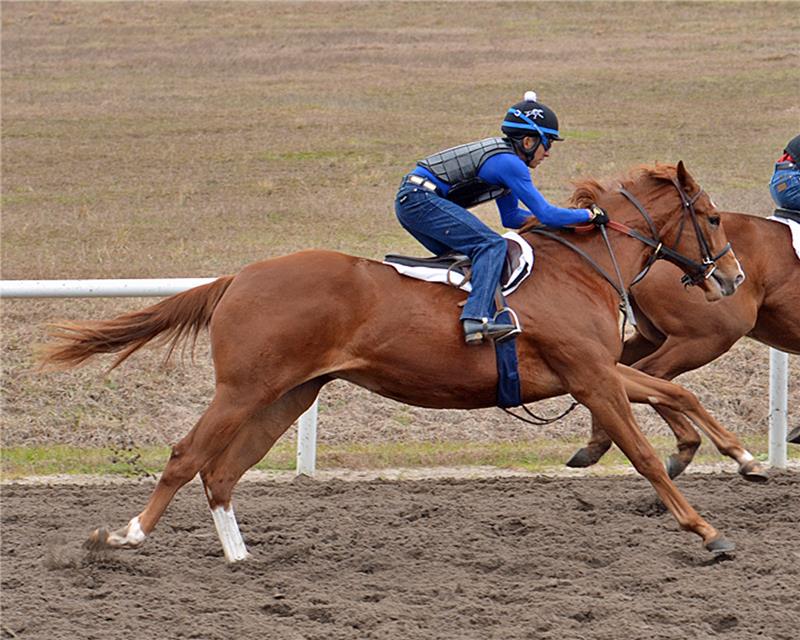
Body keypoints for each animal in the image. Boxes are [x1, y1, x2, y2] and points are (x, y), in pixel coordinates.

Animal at [42, 164, 744, 560]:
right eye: (712, 218)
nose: (733, 276)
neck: (581, 266)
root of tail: (239, 276)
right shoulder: (590, 374)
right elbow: (643, 453)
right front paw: (707, 531)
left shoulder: (593, 369)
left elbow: (675, 393)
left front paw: (740, 456)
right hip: (242, 388)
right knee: (188, 456)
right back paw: (123, 537)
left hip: (289, 394)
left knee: (223, 472)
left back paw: (240, 558)